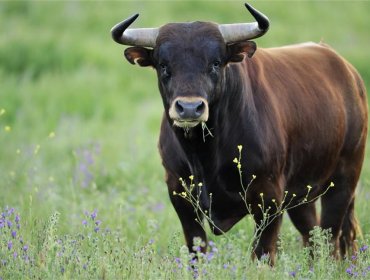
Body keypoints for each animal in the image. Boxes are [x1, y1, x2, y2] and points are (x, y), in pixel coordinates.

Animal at [110, 3, 368, 264]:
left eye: (215, 63)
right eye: (164, 65)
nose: (190, 108)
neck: (204, 155)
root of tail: (348, 72)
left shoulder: (269, 197)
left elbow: (262, 254)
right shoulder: (179, 194)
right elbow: (197, 250)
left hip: (343, 181)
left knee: (331, 241)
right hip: (303, 196)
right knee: (313, 238)